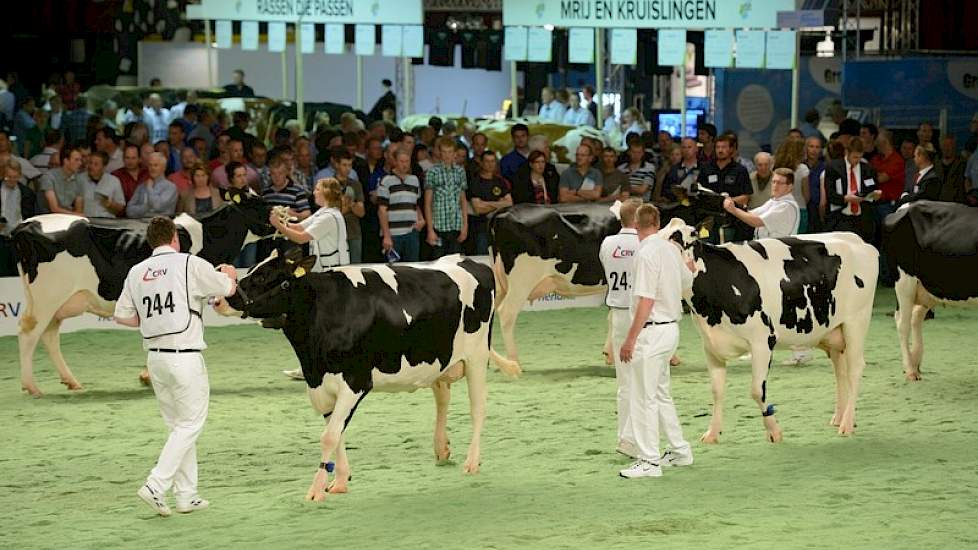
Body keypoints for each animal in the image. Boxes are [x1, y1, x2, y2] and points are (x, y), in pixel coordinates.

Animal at [11, 189, 272, 396]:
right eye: (260, 203)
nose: (281, 212)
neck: (206, 234)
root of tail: (26, 224)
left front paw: (148, 375)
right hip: (48, 296)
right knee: (29, 332)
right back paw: (31, 387)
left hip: (58, 302)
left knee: (48, 335)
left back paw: (71, 381)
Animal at [216, 252, 516, 502]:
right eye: (251, 270)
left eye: (263, 276)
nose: (221, 300)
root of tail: (468, 260)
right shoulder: (323, 386)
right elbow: (336, 432)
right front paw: (339, 481)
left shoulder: (355, 381)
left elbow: (329, 436)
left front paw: (315, 490)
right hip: (438, 362)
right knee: (442, 398)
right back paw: (442, 449)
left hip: (477, 356)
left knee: (478, 408)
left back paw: (471, 462)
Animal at [656, 220, 876, 444]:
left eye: (675, 237)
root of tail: (856, 239)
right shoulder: (711, 346)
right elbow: (717, 390)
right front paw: (712, 433)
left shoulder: (763, 341)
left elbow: (756, 391)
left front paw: (773, 431)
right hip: (833, 332)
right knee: (840, 371)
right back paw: (839, 418)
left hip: (856, 322)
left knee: (855, 368)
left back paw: (846, 424)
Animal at [884, 201, 976, 382]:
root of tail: (908, 205)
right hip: (904, 281)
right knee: (903, 323)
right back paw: (910, 370)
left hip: (926, 288)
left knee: (916, 318)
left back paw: (916, 363)